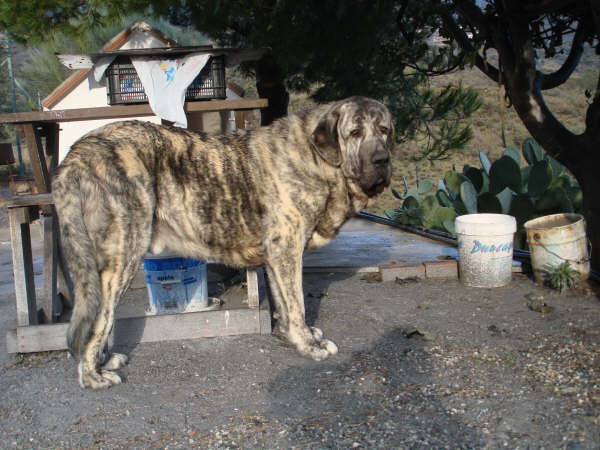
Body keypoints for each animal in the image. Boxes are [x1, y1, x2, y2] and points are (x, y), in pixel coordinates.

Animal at [52, 96, 394, 388]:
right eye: (355, 132)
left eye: (384, 130)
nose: (382, 159)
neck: (316, 157)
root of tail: (78, 152)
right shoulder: (287, 248)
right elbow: (297, 303)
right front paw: (309, 345)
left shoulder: (275, 255)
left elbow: (283, 302)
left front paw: (290, 335)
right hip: (123, 256)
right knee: (100, 320)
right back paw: (92, 375)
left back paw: (103, 362)